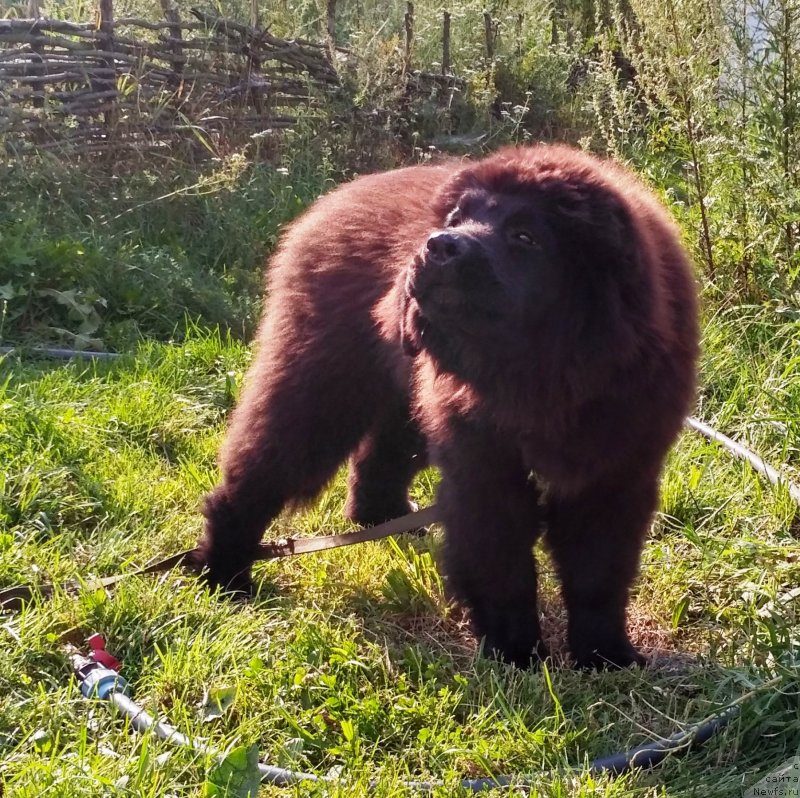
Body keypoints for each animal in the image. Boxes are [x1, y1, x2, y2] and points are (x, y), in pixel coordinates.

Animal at [197, 147, 696, 672]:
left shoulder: (613, 472)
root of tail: (336, 198)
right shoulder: (483, 470)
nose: (439, 244)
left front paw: (606, 657)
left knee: (379, 456)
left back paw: (383, 518)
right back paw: (224, 575)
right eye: (458, 218)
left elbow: (599, 572)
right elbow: (502, 566)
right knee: (261, 470)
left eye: (525, 236)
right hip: (321, 383)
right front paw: (516, 656)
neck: (541, 377)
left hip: (408, 395)